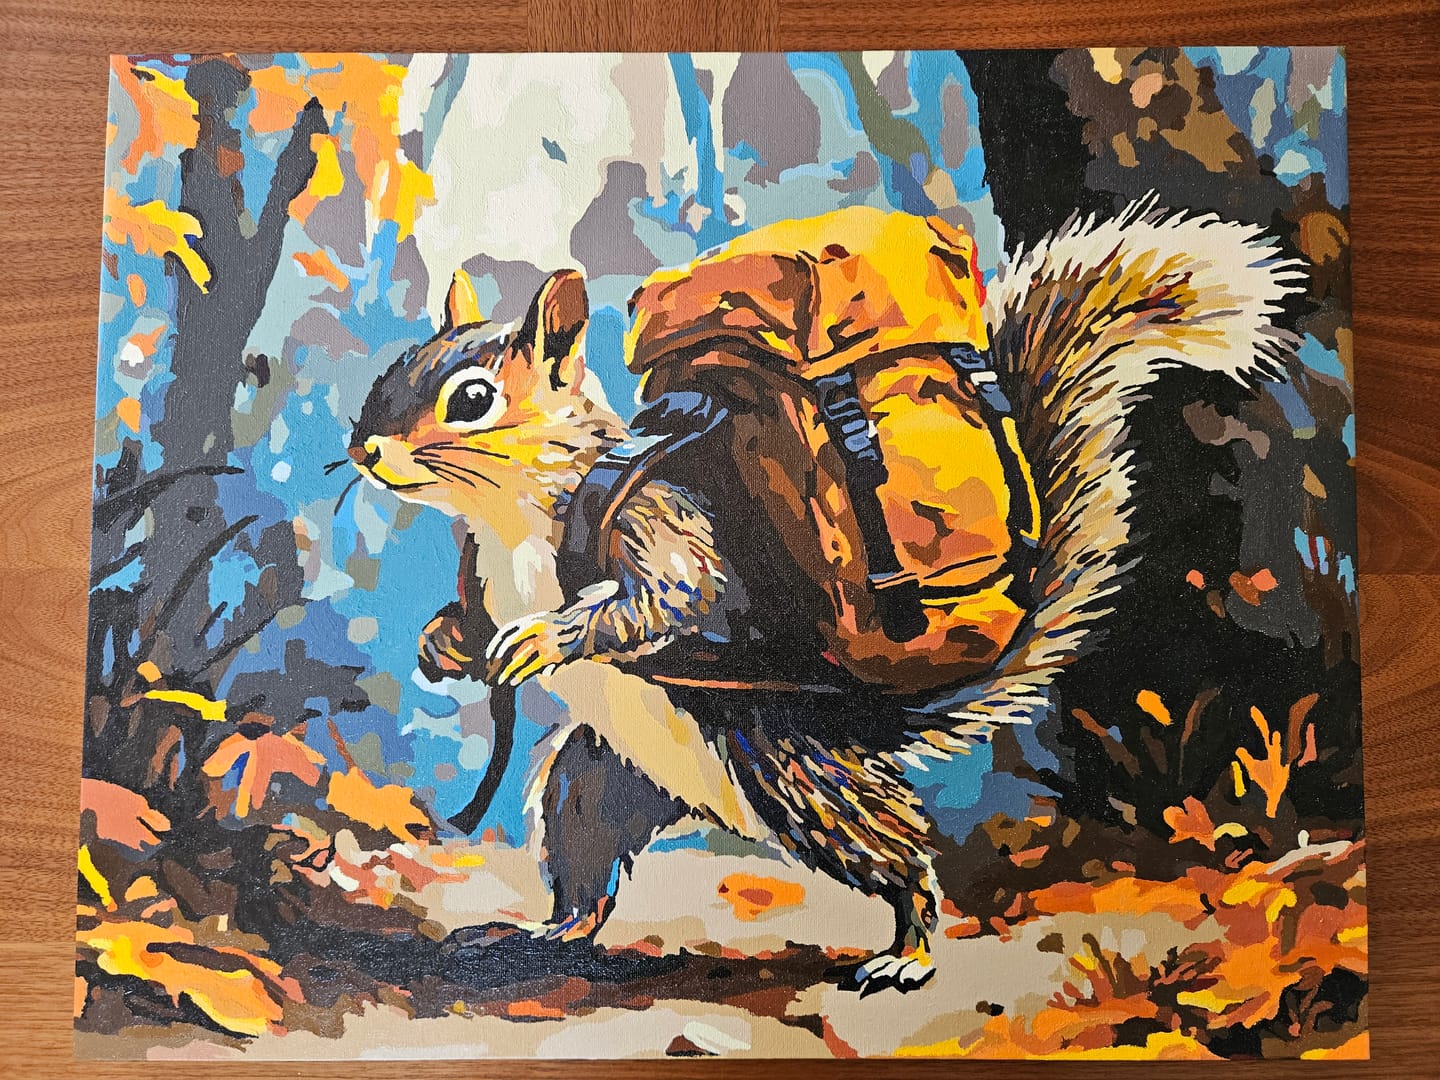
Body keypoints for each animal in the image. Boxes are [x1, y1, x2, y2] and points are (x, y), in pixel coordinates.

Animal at [349, 203, 1301, 994]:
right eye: (393, 368)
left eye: (474, 399)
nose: (363, 450)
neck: (504, 518)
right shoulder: (482, 573)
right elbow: (473, 618)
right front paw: (444, 646)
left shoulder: (660, 517)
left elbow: (671, 595)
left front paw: (548, 634)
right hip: (601, 779)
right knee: (586, 856)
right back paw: (547, 932)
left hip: (798, 776)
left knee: (896, 858)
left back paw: (908, 950)